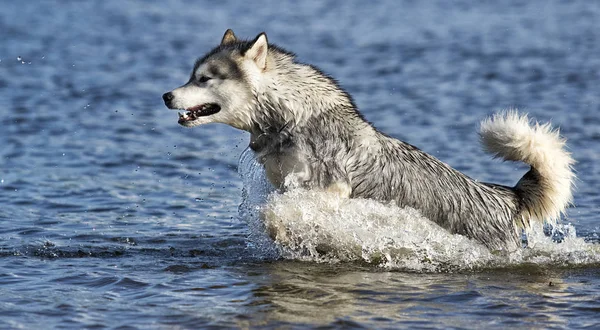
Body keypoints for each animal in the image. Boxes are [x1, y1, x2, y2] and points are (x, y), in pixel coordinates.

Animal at [162, 30, 576, 250]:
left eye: (204, 79)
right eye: (191, 75)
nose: (166, 96)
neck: (291, 118)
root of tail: (504, 196)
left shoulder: (330, 189)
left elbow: (277, 212)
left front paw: (282, 230)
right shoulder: (286, 183)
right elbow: (281, 208)